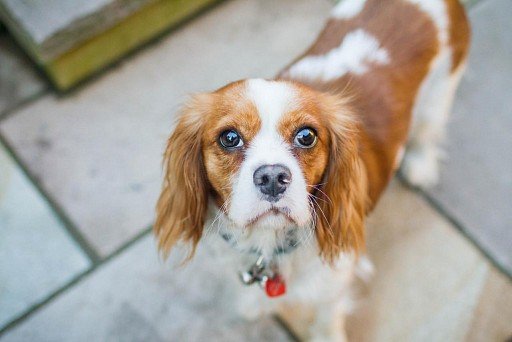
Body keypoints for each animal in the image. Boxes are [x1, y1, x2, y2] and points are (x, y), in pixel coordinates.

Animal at [154, 0, 470, 340]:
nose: (272, 178)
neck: (269, 243)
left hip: (439, 96)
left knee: (427, 131)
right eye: (229, 137)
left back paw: (420, 166)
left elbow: (326, 319)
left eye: (306, 136)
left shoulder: (332, 287)